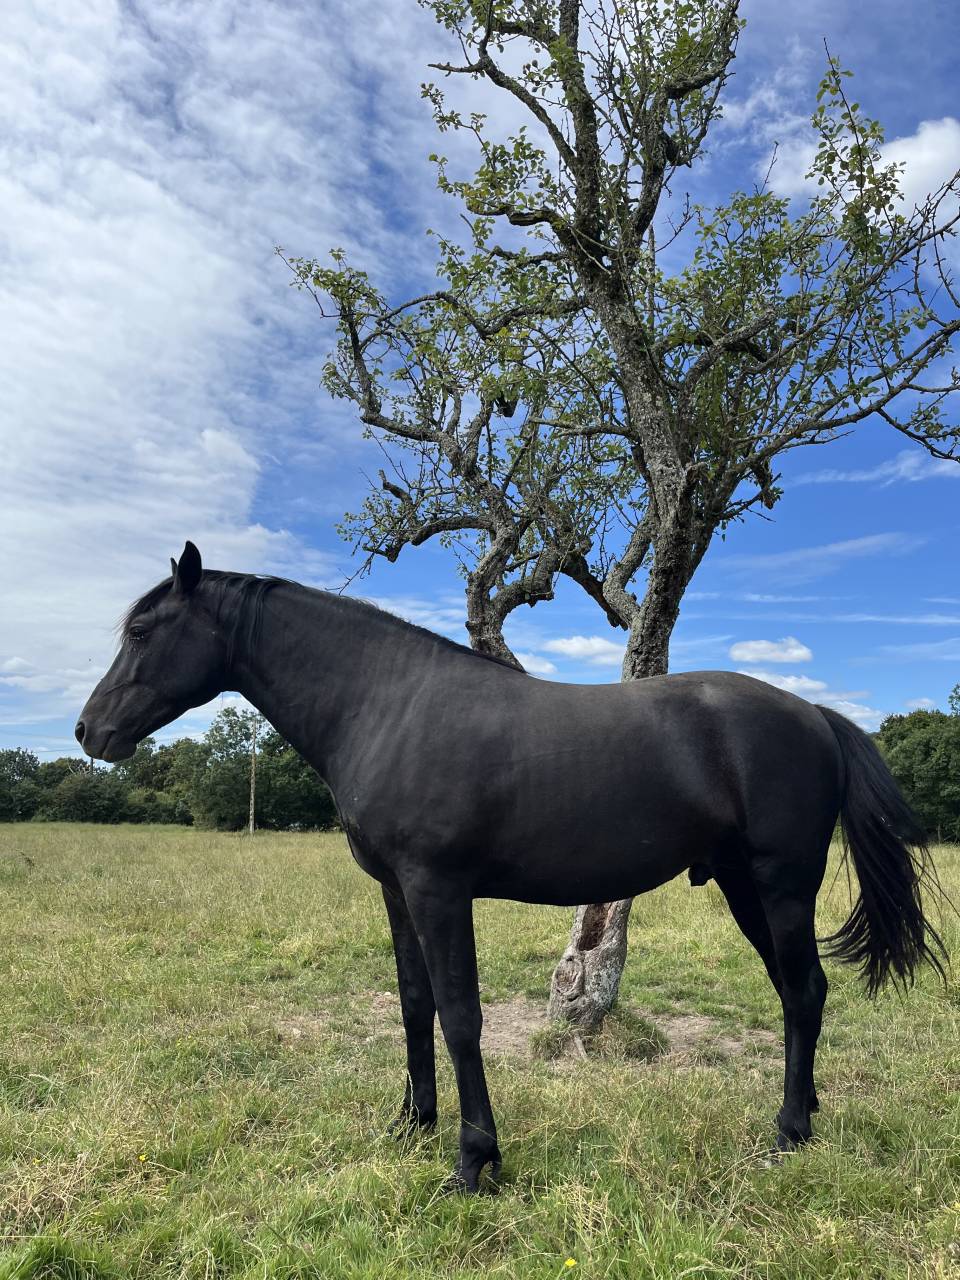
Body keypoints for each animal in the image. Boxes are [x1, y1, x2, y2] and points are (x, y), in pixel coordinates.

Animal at [76, 542, 947, 1191]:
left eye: (144, 630)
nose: (89, 731)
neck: (387, 705)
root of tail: (817, 715)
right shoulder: (398, 892)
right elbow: (414, 1006)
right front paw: (411, 1125)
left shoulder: (439, 889)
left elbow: (462, 1016)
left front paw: (474, 1161)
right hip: (743, 887)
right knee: (803, 994)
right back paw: (808, 1114)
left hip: (780, 886)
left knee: (802, 992)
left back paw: (788, 1131)